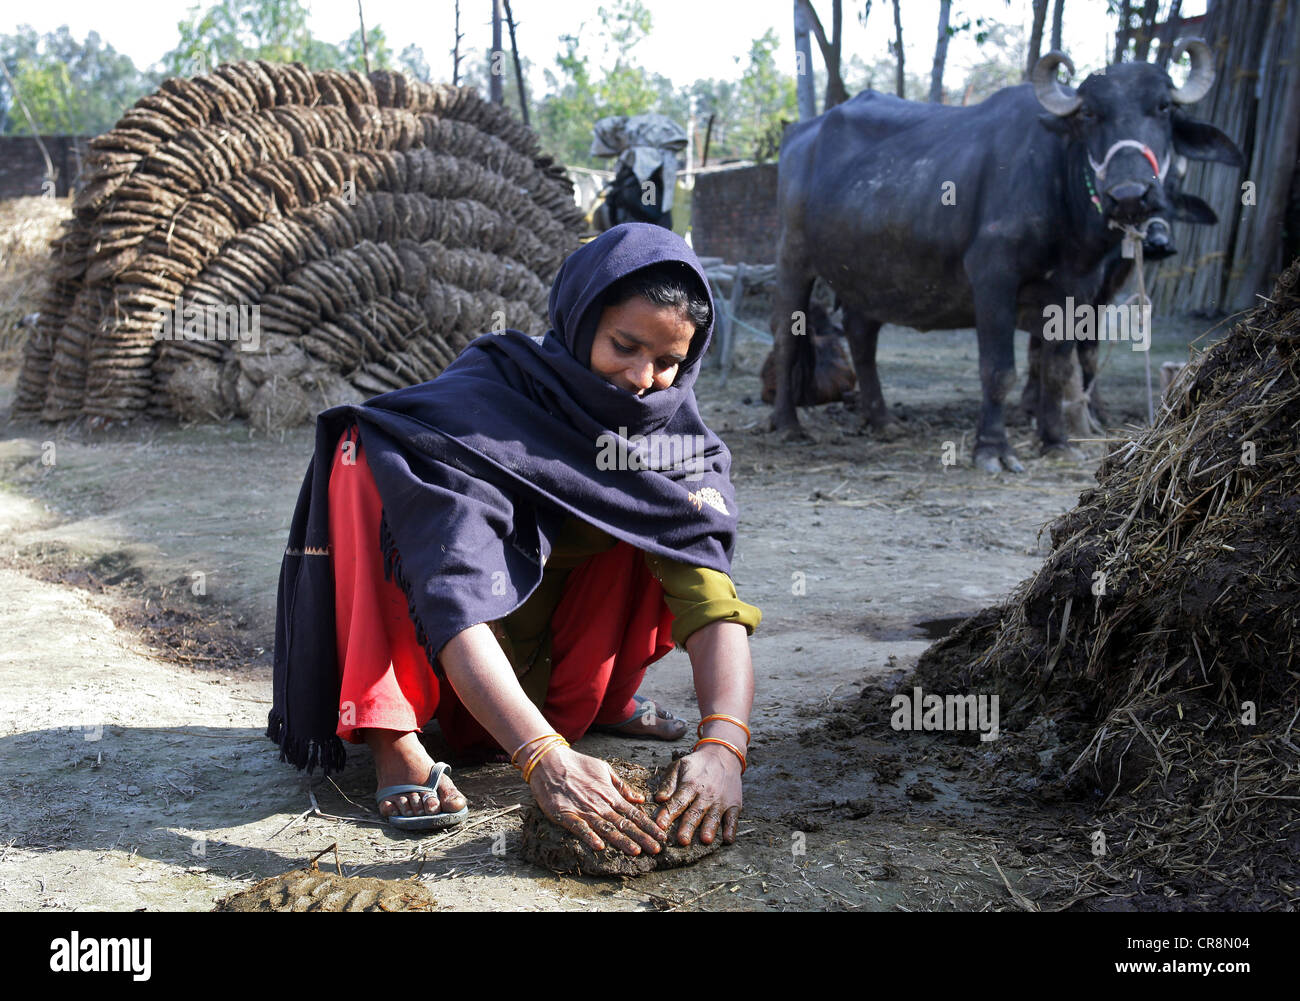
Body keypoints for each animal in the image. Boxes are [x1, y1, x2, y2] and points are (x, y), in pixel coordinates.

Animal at [769, 40, 1243, 471]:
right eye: (1090, 114)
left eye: (1163, 107)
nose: (1129, 194)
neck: (1060, 193)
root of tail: (798, 135)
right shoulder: (994, 278)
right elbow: (999, 371)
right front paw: (993, 450)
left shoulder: (1078, 291)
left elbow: (1056, 369)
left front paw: (1056, 441)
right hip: (794, 258)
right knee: (789, 338)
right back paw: (788, 424)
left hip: (869, 275)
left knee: (862, 337)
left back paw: (881, 419)